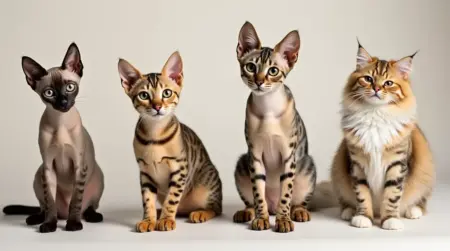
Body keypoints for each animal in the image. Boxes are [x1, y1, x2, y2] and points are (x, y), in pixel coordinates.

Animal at [1, 42, 103, 232]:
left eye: (70, 87)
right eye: (49, 93)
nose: (63, 103)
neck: (60, 122)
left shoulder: (79, 166)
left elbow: (76, 202)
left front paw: (73, 225)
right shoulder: (48, 167)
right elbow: (50, 202)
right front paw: (49, 225)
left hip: (99, 177)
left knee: (87, 206)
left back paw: (91, 216)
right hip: (39, 174)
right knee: (44, 206)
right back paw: (35, 219)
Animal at [116, 51, 221, 233]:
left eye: (166, 93)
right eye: (144, 95)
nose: (157, 107)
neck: (155, 134)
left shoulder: (179, 169)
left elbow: (172, 199)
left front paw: (166, 219)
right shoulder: (145, 173)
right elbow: (147, 201)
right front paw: (149, 220)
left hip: (206, 185)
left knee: (215, 208)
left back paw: (199, 213)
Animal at [234, 21, 318, 233]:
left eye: (273, 71)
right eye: (250, 66)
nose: (259, 81)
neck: (268, 108)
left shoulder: (289, 156)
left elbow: (286, 194)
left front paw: (283, 220)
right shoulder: (255, 155)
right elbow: (258, 194)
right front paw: (261, 219)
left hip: (307, 166)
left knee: (297, 202)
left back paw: (298, 212)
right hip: (242, 163)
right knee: (254, 201)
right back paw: (248, 212)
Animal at [330, 40, 436, 229]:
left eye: (388, 83)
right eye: (368, 79)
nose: (377, 88)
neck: (375, 114)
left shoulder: (397, 164)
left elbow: (392, 196)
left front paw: (390, 220)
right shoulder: (357, 165)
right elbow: (362, 195)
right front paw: (363, 218)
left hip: (425, 172)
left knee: (421, 202)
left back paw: (413, 211)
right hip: (337, 172)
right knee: (345, 201)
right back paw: (349, 212)